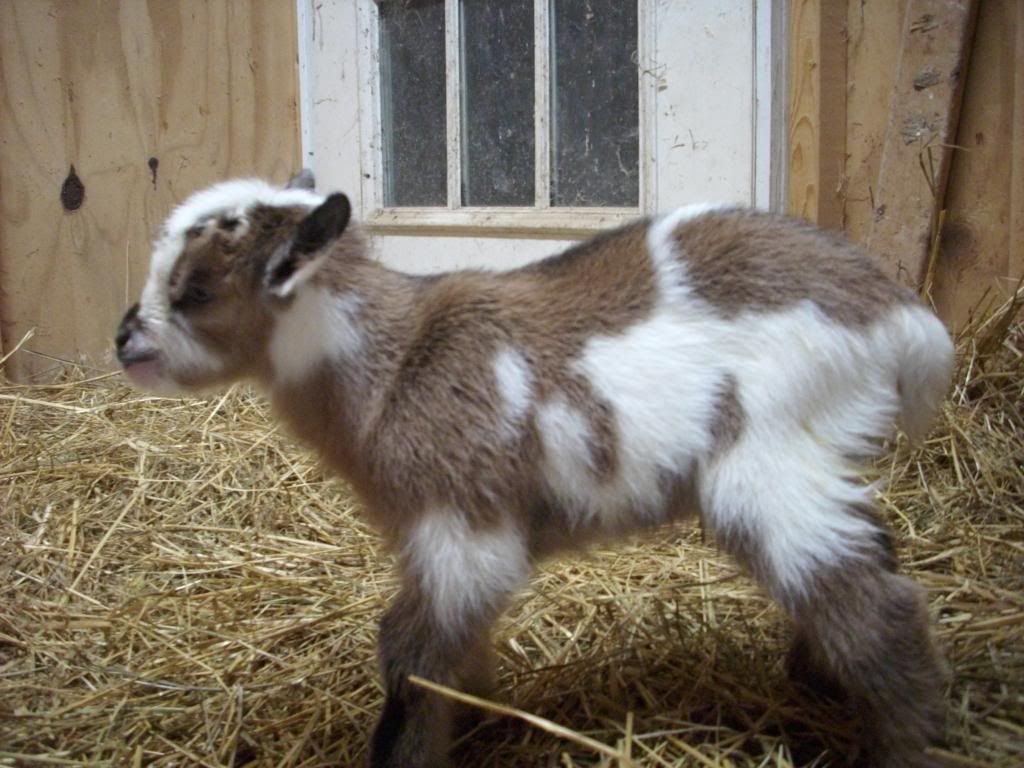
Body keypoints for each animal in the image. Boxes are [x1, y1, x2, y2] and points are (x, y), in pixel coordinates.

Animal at [116, 173, 954, 767]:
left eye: (194, 291)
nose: (125, 339)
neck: (396, 362)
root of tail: (901, 316)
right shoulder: (436, 539)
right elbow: (450, 644)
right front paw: (483, 715)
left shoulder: (464, 526)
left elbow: (410, 652)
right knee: (872, 559)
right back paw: (814, 682)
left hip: (769, 461)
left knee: (879, 610)